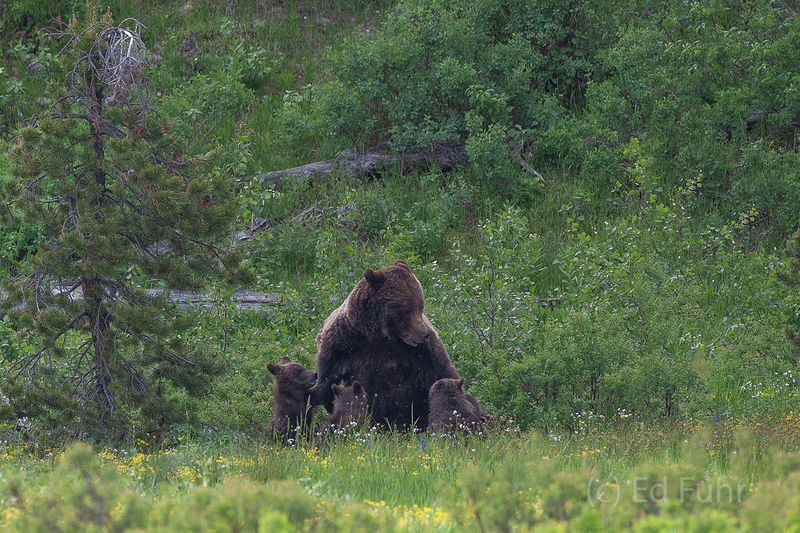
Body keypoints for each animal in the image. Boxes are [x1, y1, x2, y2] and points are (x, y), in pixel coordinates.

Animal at [310, 260, 461, 430]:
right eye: (407, 310)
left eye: (421, 306)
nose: (425, 334)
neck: (379, 334)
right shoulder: (342, 343)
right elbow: (328, 379)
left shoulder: (421, 353)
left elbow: (442, 371)